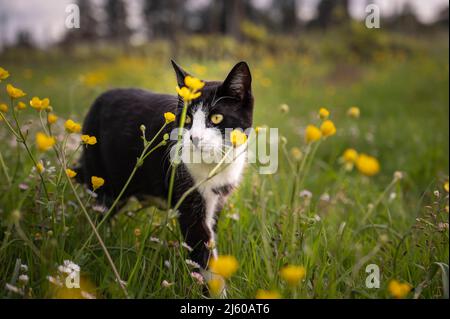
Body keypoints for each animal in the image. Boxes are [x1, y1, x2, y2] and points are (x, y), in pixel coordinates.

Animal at [77, 60, 253, 272]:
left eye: (216, 118)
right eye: (187, 118)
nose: (195, 138)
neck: (214, 164)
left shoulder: (217, 199)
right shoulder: (189, 200)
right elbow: (202, 250)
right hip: (103, 179)